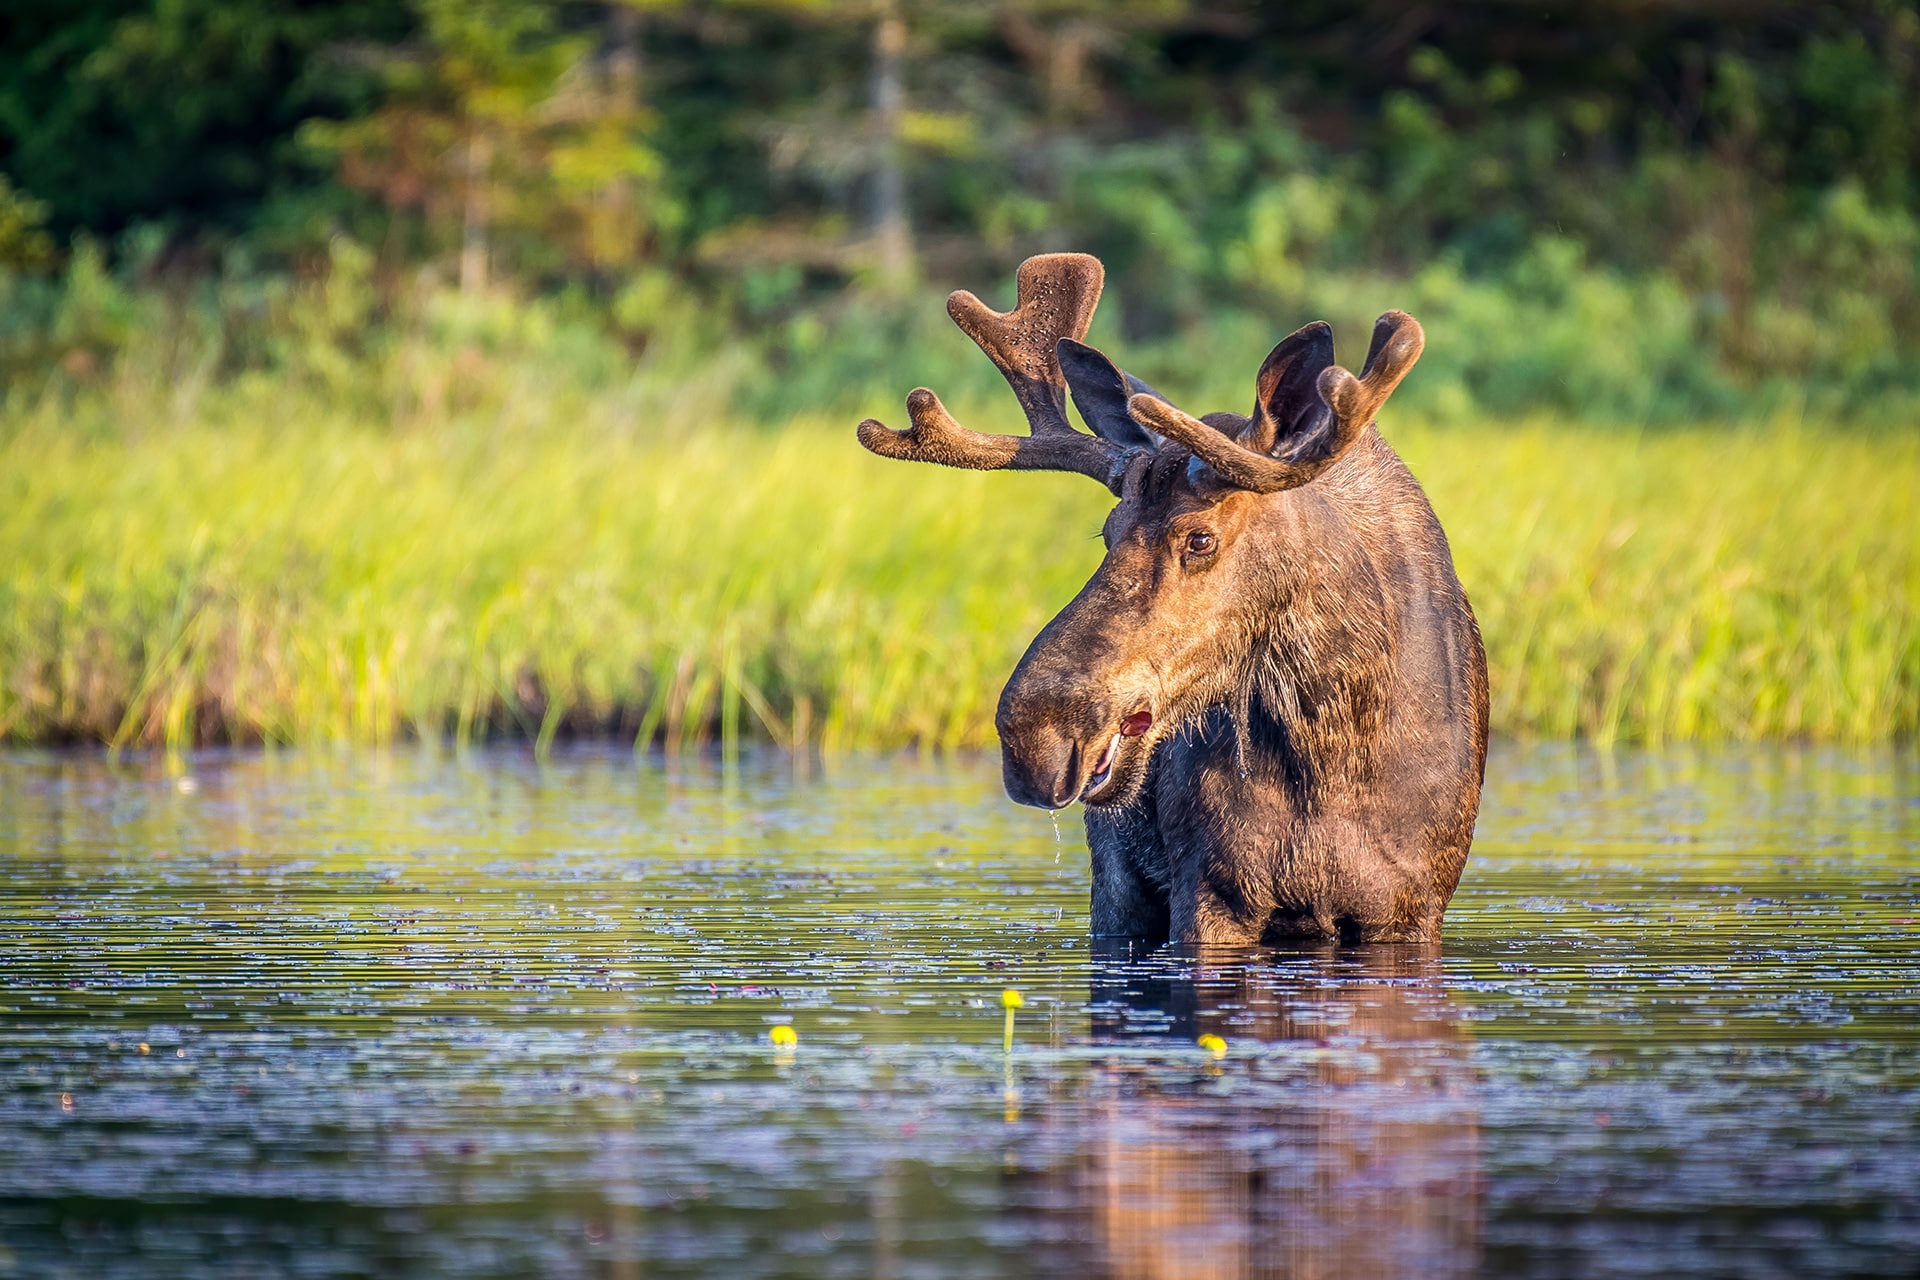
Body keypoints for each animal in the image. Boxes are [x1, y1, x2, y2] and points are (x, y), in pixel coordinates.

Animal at [864, 255, 1489, 948]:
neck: (1338, 742)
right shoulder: (1210, 891)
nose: (1034, 734)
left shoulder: (1411, 908)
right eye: (1107, 531)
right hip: (1116, 883)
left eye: (1199, 538)